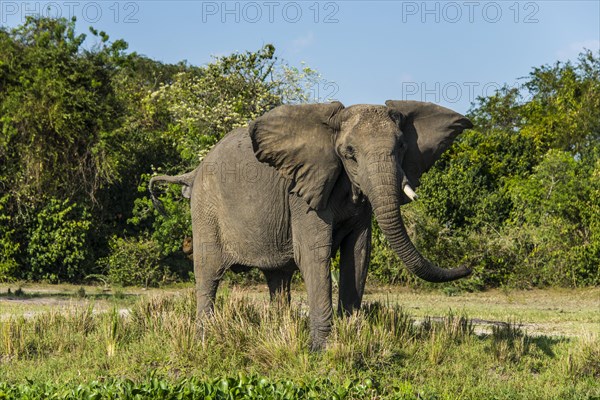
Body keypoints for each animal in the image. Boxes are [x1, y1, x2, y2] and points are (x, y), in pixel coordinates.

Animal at [149, 101, 474, 350]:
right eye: (349, 153)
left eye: (403, 146)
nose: (468, 264)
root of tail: (193, 172)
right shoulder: (302, 195)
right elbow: (313, 254)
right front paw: (321, 350)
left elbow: (358, 253)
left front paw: (351, 336)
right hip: (205, 210)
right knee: (208, 274)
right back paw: (205, 340)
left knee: (278, 279)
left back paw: (277, 331)